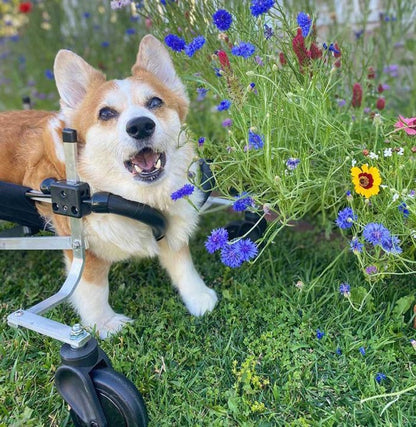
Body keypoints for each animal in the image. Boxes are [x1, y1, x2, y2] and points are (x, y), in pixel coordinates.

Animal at [0, 35, 219, 340]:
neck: (132, 197)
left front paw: (198, 297)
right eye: (105, 113)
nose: (141, 126)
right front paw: (104, 325)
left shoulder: (172, 228)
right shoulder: (81, 246)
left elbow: (183, 265)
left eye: (155, 102)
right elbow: (94, 289)